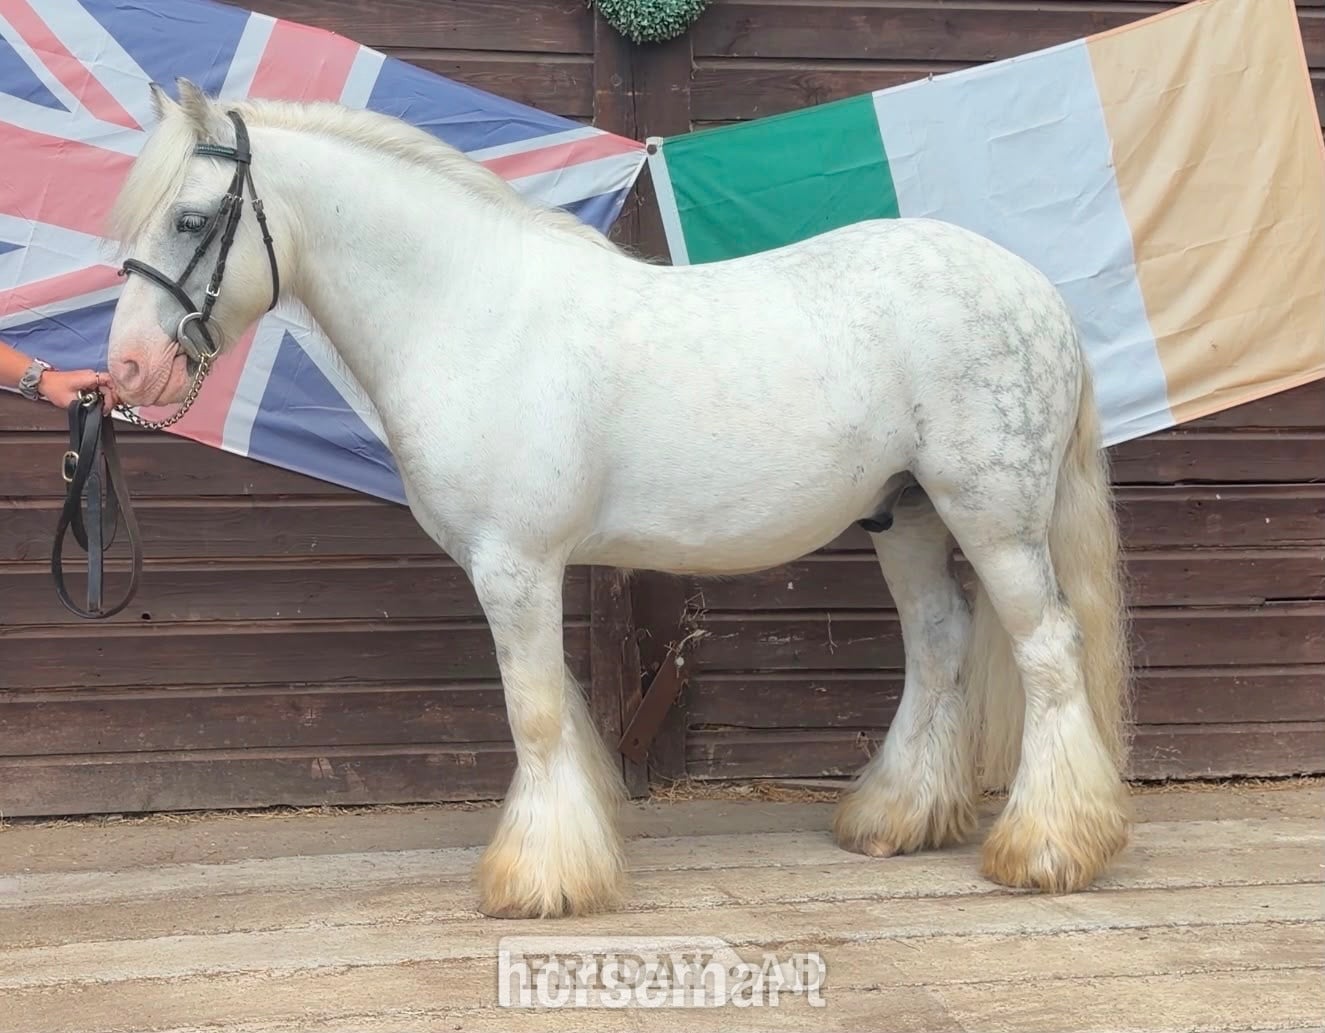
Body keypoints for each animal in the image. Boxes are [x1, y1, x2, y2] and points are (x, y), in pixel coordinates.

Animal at [103, 79, 1134, 919]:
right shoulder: (515, 566)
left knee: (1047, 650)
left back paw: (1048, 850)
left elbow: (534, 714)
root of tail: (1034, 291)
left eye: (190, 220)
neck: (471, 314)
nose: (131, 369)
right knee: (938, 641)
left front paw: (538, 881)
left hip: (993, 517)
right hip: (904, 514)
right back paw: (894, 818)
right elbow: (556, 706)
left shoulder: (514, 561)